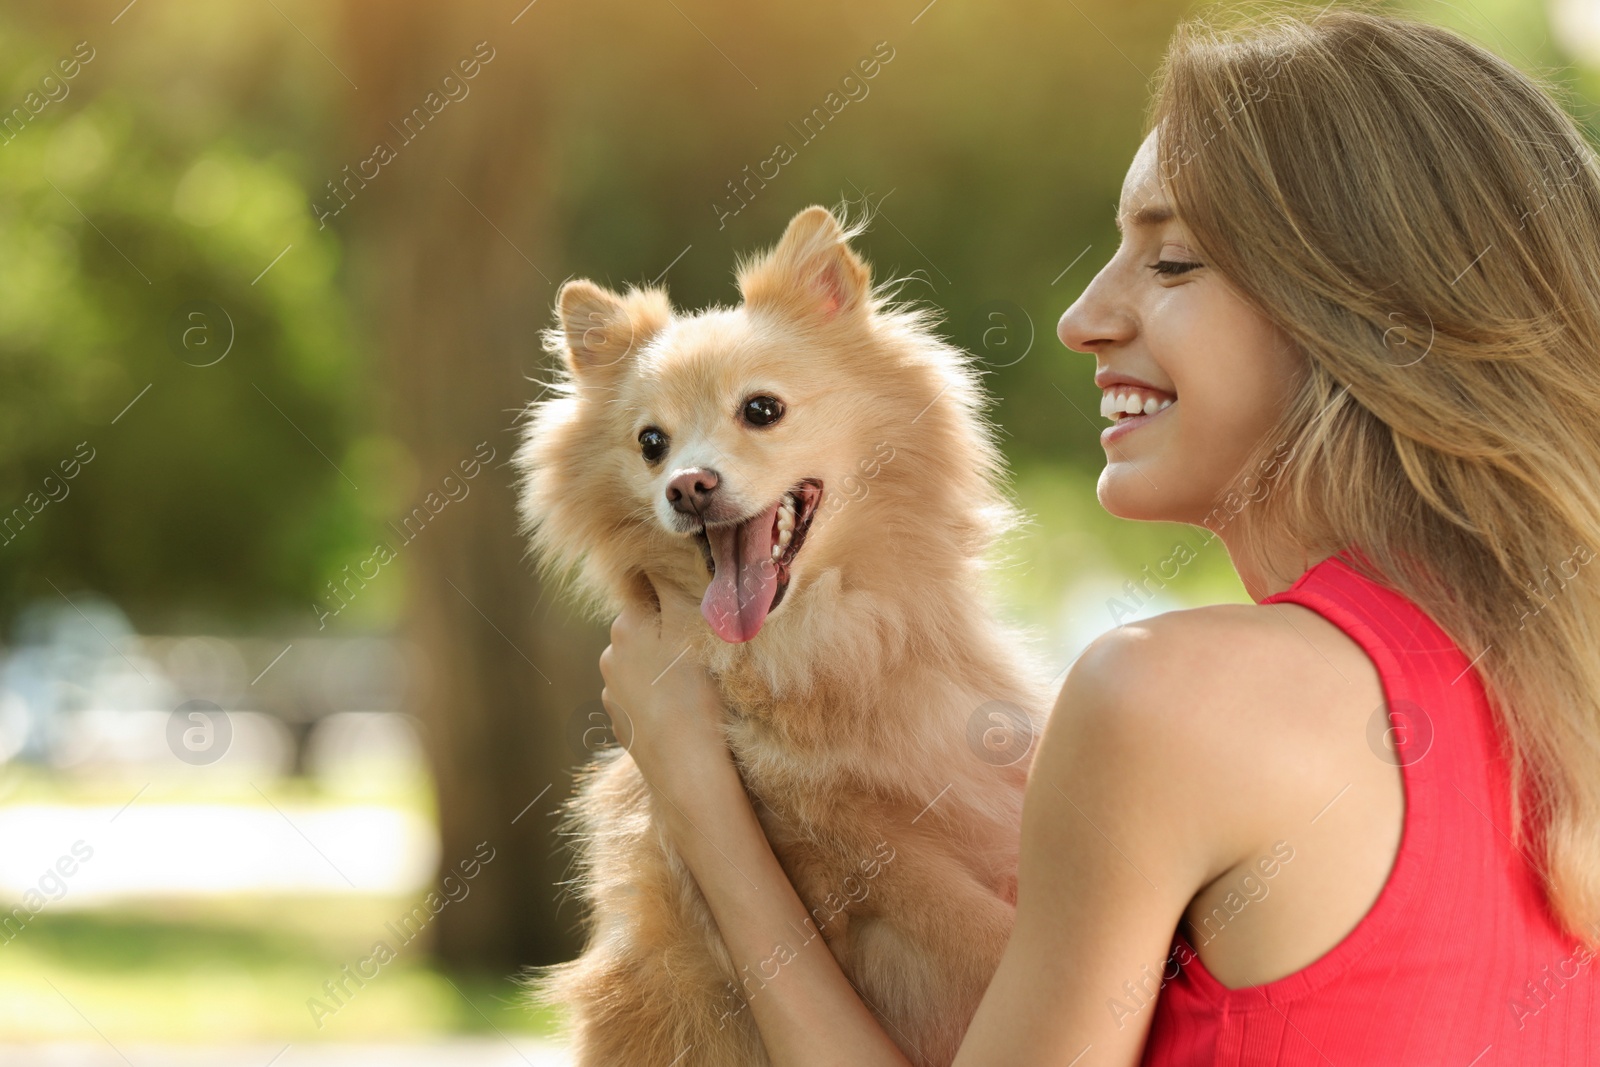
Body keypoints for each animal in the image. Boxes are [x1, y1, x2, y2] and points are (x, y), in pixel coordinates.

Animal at [518, 202, 1056, 1067]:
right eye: (650, 443)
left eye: (762, 410)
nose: (687, 486)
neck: (822, 642)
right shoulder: (851, 851)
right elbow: (973, 927)